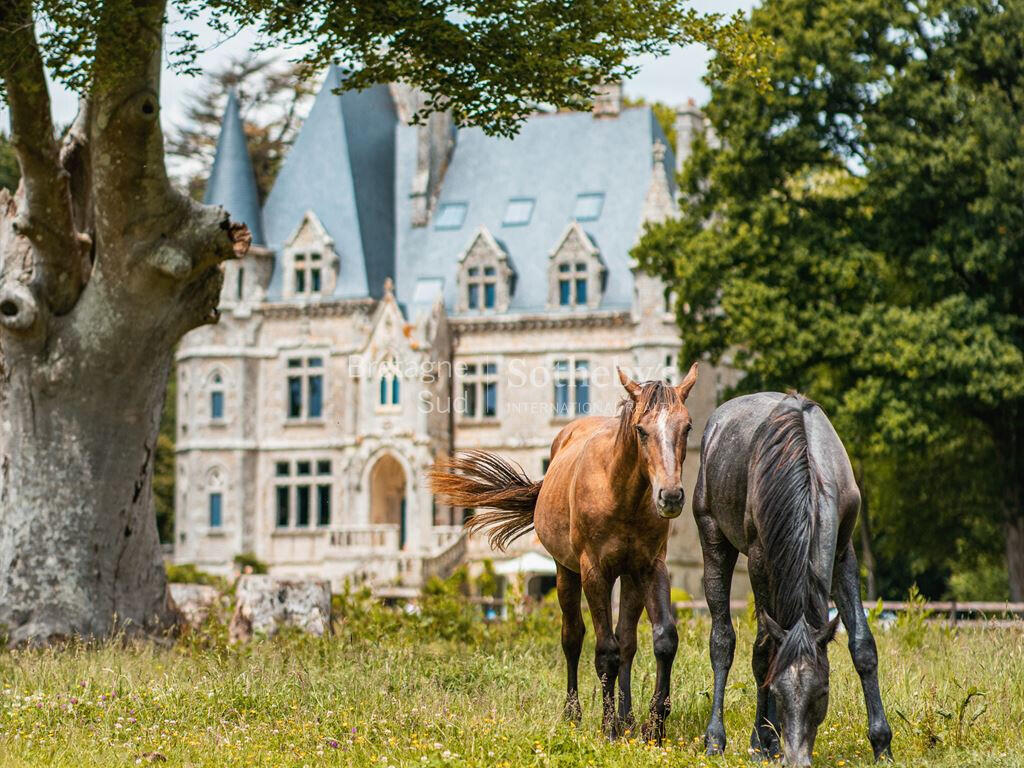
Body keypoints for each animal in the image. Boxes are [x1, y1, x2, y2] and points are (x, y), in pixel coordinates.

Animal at [428, 364, 700, 741]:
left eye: (686, 427)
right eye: (641, 430)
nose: (670, 496)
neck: (621, 493)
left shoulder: (651, 567)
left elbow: (662, 640)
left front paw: (654, 727)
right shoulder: (593, 572)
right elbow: (605, 650)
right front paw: (608, 728)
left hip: (629, 579)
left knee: (628, 642)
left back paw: (628, 718)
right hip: (564, 573)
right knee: (573, 638)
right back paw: (575, 714)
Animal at [692, 393, 892, 765]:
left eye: (823, 691)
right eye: (776, 689)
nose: (796, 757)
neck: (809, 471)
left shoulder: (843, 552)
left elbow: (862, 644)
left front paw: (882, 744)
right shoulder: (759, 558)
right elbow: (763, 653)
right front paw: (761, 742)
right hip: (713, 537)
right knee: (722, 641)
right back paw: (718, 739)